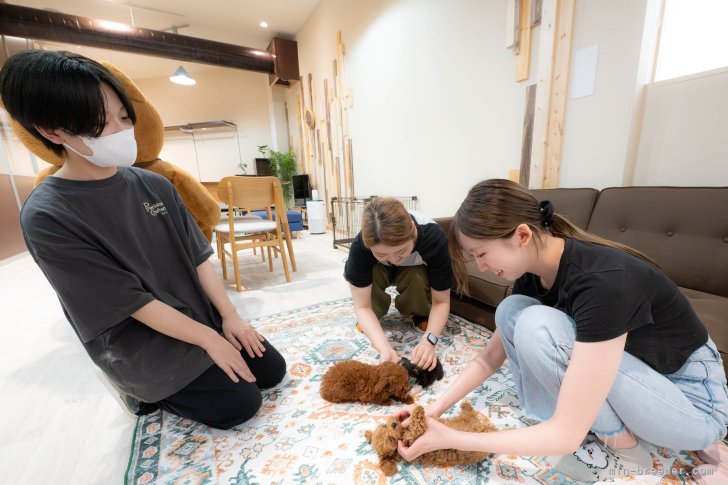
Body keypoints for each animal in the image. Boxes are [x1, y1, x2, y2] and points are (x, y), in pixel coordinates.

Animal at [366, 400, 498, 476]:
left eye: (385, 426)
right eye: (391, 439)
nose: (394, 424)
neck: (403, 432)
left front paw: (407, 414)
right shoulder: (414, 437)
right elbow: (417, 425)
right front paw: (418, 409)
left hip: (465, 420)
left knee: (470, 414)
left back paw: (465, 405)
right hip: (477, 436)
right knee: (477, 421)